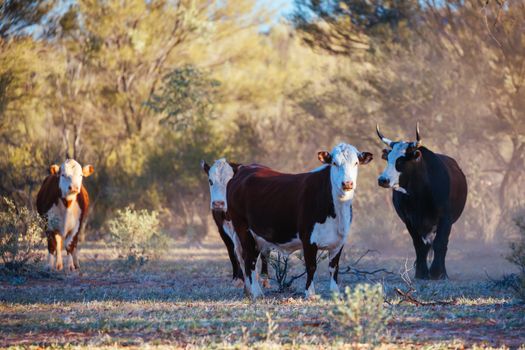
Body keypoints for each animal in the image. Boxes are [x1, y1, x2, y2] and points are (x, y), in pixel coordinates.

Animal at [199, 159, 268, 288]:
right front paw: (237, 278)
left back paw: (264, 277)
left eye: (229, 182)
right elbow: (233, 252)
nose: (218, 203)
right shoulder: (221, 229)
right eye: (210, 181)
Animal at [227, 142, 370, 298]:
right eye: (334, 163)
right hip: (242, 228)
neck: (337, 213)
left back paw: (249, 291)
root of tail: (243, 168)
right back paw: (257, 293)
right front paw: (310, 293)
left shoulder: (339, 241)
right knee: (249, 259)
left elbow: (334, 267)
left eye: (356, 163)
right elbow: (311, 266)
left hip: (256, 235)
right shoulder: (308, 239)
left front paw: (335, 292)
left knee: (247, 258)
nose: (347, 183)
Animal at [376, 124, 466, 280]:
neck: (420, 195)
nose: (383, 180)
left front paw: (437, 273)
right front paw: (421, 272)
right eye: (388, 159)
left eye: (401, 160)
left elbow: (440, 243)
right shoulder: (409, 220)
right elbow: (419, 245)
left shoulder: (445, 218)